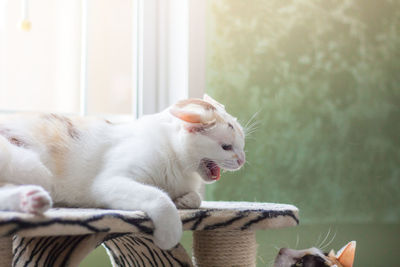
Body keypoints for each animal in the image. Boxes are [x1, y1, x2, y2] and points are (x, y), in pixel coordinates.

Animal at [0, 94, 244, 251]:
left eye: (241, 145)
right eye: (226, 147)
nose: (242, 160)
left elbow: (195, 198)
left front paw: (184, 200)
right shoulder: (110, 182)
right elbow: (159, 197)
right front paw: (169, 235)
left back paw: (32, 200)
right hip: (34, 168)